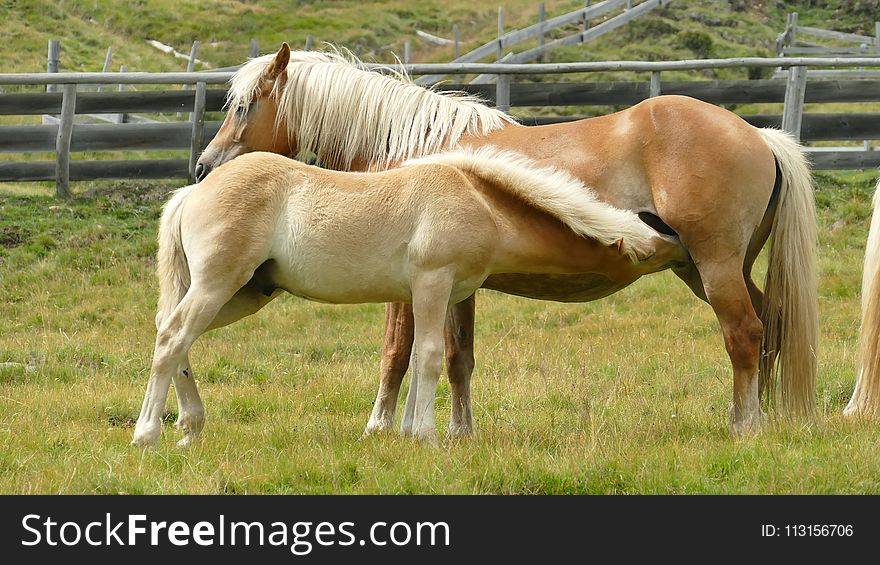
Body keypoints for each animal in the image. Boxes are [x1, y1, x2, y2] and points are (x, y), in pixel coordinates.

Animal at [131, 148, 684, 448]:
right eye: (653, 247)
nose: (685, 252)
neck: (478, 201)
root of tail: (192, 192)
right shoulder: (433, 283)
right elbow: (433, 357)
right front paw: (428, 437)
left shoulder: (433, 294)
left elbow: (420, 358)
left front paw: (409, 434)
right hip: (218, 284)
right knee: (173, 337)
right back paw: (148, 434)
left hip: (244, 294)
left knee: (176, 339)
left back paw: (191, 428)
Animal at [191, 43, 820, 436]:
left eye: (243, 106)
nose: (204, 167)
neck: (415, 148)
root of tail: (758, 135)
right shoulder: (459, 287)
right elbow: (458, 358)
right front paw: (459, 431)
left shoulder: (406, 285)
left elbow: (397, 352)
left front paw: (379, 427)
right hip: (710, 270)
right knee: (771, 328)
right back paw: (766, 419)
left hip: (715, 267)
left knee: (744, 335)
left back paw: (744, 425)